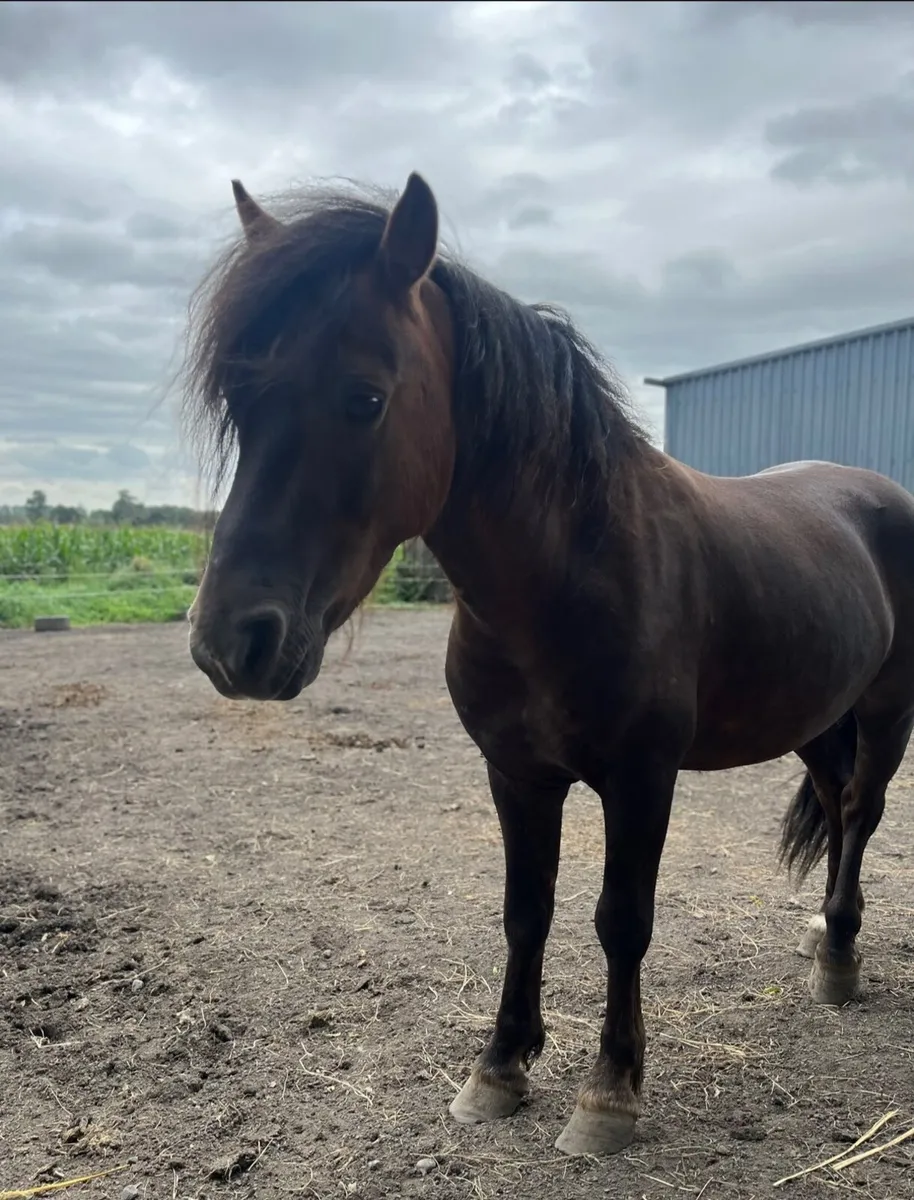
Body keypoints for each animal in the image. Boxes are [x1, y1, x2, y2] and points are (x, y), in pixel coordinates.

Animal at [184, 171, 914, 1157]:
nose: (231, 643)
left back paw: (838, 954)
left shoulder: (642, 779)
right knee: (837, 809)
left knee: (864, 812)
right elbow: (524, 911)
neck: (571, 575)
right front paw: (499, 1068)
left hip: (885, 712)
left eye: (365, 397)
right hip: (812, 715)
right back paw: (821, 938)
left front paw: (609, 1094)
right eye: (238, 400)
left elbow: (622, 922)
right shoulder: (516, 773)